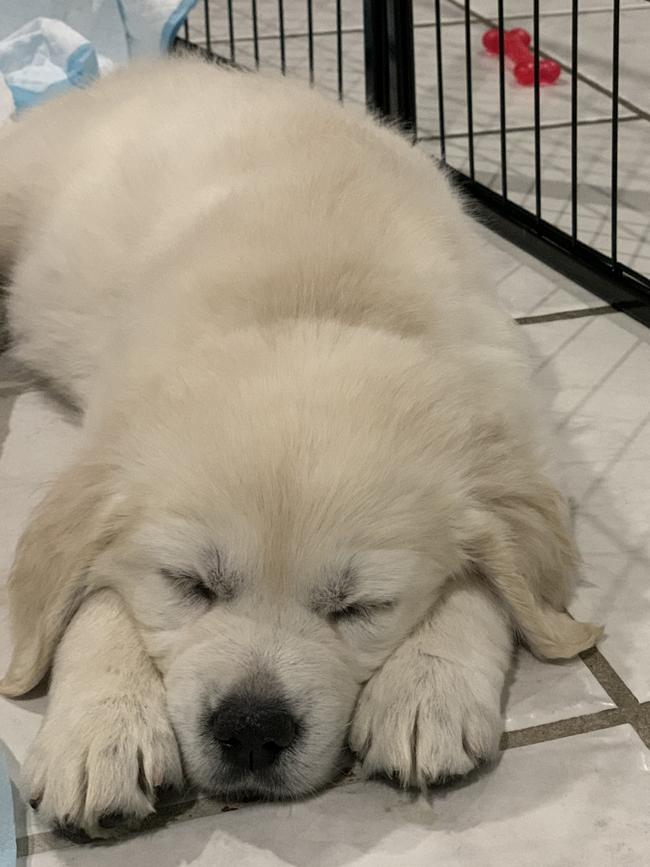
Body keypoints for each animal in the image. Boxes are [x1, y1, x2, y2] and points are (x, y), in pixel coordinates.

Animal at [0, 57, 604, 836]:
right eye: (189, 585)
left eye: (361, 607)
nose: (252, 729)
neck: (309, 302)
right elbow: (97, 593)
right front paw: (100, 729)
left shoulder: (521, 431)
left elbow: (497, 583)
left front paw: (426, 686)